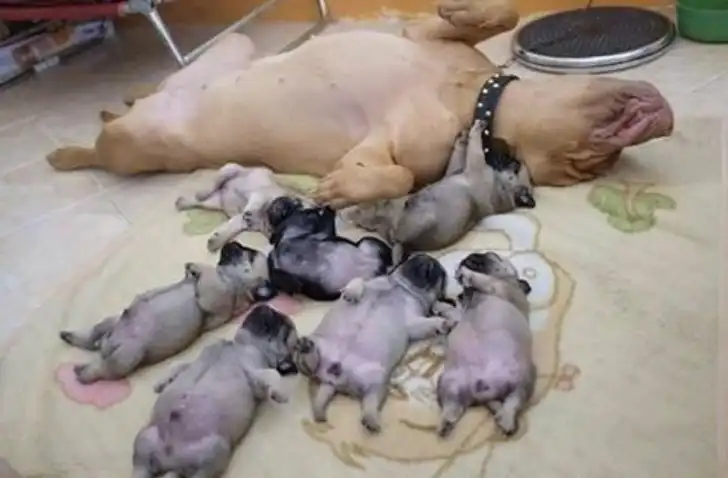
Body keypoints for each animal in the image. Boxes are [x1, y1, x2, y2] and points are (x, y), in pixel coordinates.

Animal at [59, 242, 269, 384]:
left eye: (248, 253)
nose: (231, 243)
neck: (234, 280)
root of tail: (105, 343)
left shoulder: (219, 294)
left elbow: (208, 276)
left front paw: (196, 267)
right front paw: (189, 269)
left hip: (127, 355)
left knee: (103, 369)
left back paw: (83, 372)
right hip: (111, 323)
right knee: (92, 337)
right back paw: (71, 337)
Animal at [132, 304, 298, 478]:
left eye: (285, 328)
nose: (266, 306)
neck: (238, 344)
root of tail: (170, 460)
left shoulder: (255, 373)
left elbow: (273, 374)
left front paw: (279, 392)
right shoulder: (195, 360)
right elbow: (178, 365)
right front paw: (163, 382)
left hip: (215, 452)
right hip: (145, 441)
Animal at [294, 253, 455, 432]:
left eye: (440, 273)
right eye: (411, 257)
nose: (427, 258)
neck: (403, 288)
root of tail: (333, 380)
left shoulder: (415, 322)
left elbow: (429, 322)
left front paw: (443, 323)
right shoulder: (369, 281)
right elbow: (357, 280)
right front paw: (352, 292)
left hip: (378, 385)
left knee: (369, 401)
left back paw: (370, 420)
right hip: (318, 345)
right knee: (307, 367)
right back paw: (307, 349)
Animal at [342, 119, 535, 253]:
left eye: (515, 165)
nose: (511, 156)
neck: (504, 188)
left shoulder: (475, 163)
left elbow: (475, 146)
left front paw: (475, 130)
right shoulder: (456, 168)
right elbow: (459, 153)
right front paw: (462, 137)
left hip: (419, 218)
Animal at [433, 251, 535, 438]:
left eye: (494, 256)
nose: (472, 255)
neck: (474, 295)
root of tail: (484, 393)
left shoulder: (497, 287)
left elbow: (483, 279)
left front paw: (465, 274)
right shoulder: (460, 314)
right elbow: (452, 311)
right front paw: (440, 304)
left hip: (524, 380)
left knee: (514, 401)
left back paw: (506, 418)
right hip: (446, 382)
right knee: (453, 405)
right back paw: (446, 422)